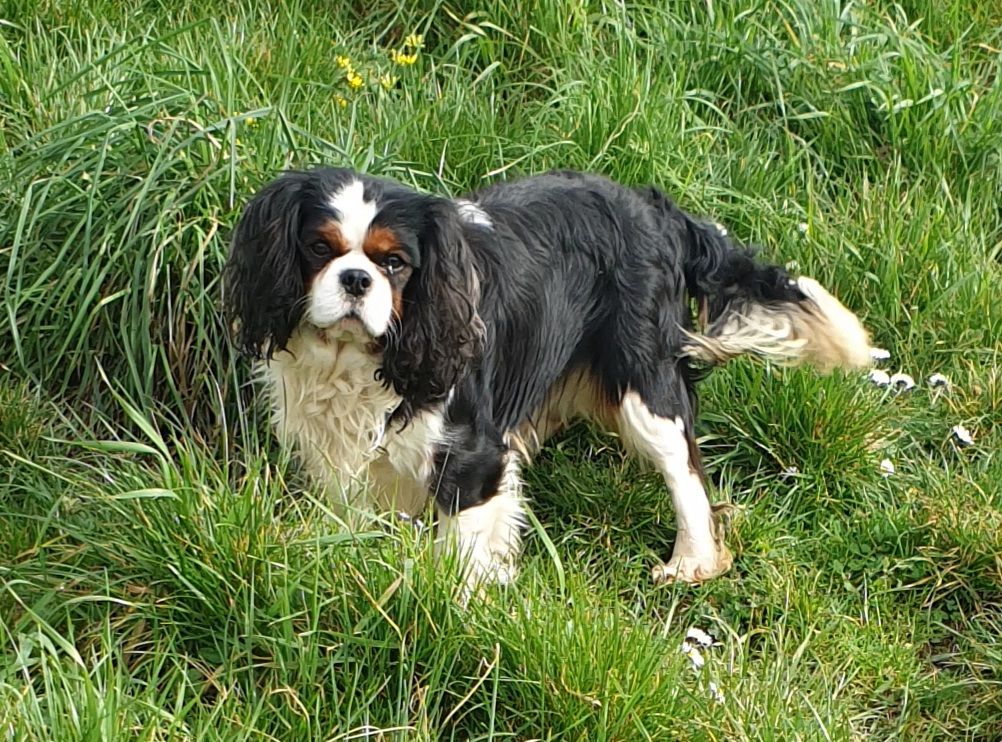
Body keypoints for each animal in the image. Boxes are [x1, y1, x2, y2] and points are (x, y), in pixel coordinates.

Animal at [223, 168, 873, 588]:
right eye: (319, 248)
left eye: (395, 263)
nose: (356, 279)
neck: (362, 360)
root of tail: (654, 208)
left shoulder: (471, 453)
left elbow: (464, 553)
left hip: (643, 380)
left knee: (683, 466)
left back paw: (693, 561)